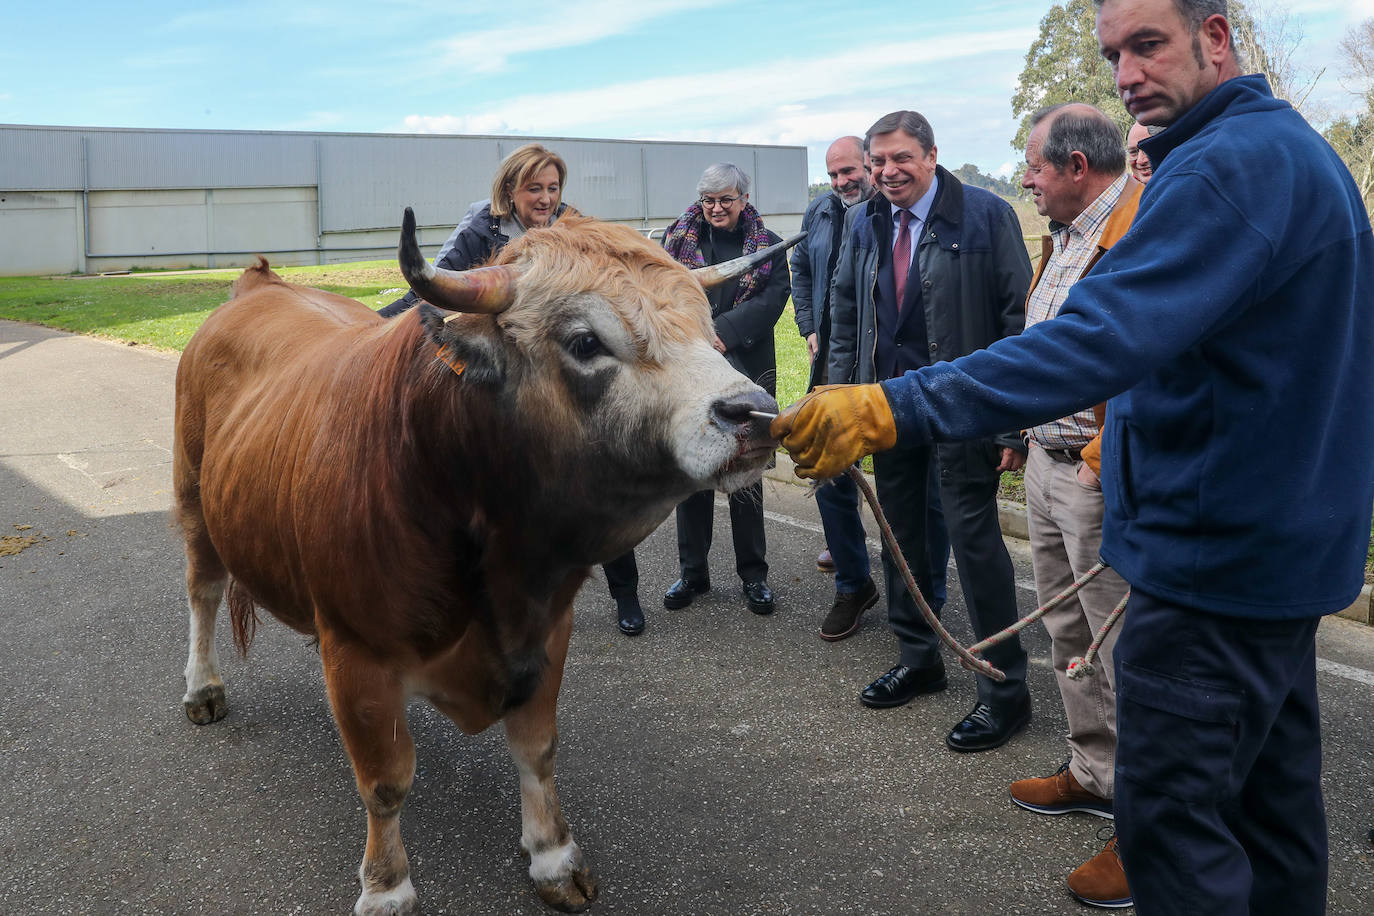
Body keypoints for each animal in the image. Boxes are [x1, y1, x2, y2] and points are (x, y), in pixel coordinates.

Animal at [174, 211, 796, 911]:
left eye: (707, 325)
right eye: (585, 341)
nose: (758, 413)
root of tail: (259, 286)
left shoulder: (547, 629)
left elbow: (537, 749)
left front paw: (553, 857)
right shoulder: (359, 654)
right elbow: (384, 781)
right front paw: (386, 887)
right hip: (194, 500)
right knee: (202, 591)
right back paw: (203, 687)